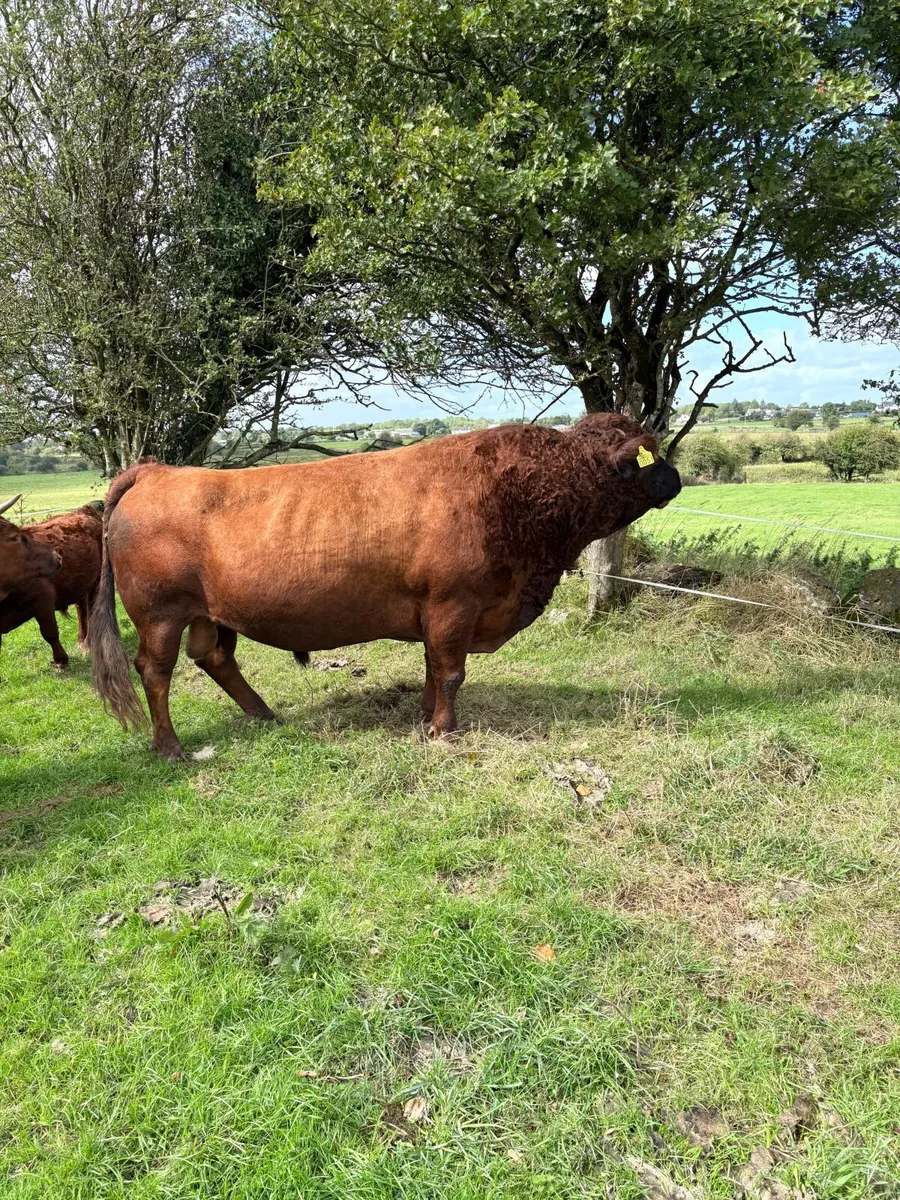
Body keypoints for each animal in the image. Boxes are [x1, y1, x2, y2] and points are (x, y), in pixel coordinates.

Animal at [0, 502, 103, 669]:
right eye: (14, 537)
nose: (57, 557)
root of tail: (84, 510)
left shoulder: (43, 599)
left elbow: (50, 632)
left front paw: (61, 659)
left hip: (97, 580)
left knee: (92, 610)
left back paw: (88, 644)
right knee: (82, 610)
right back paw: (82, 641)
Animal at [90, 413, 681, 760]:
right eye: (636, 460)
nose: (673, 476)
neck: (511, 489)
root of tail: (156, 471)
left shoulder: (438, 615)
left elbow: (434, 669)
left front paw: (424, 719)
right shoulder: (454, 605)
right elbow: (451, 672)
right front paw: (445, 731)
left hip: (209, 614)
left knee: (214, 657)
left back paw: (264, 715)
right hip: (160, 615)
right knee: (155, 672)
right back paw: (170, 747)